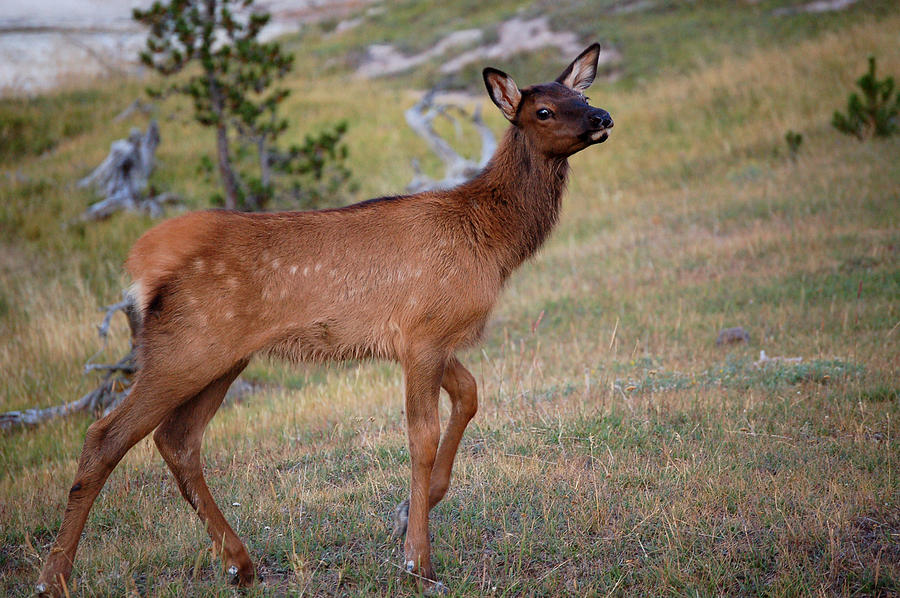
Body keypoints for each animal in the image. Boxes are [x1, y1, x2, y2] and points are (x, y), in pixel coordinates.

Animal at [35, 42, 612, 596]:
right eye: (543, 109)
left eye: (581, 94)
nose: (602, 115)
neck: (491, 241)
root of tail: (140, 271)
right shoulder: (423, 332)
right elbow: (421, 437)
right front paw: (418, 564)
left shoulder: (425, 339)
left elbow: (469, 396)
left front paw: (406, 515)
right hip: (185, 347)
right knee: (105, 435)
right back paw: (53, 577)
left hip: (221, 357)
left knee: (177, 440)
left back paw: (240, 565)